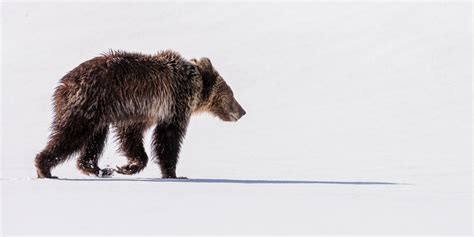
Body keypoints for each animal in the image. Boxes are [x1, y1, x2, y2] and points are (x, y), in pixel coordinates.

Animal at [35, 50, 246, 180]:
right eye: (232, 93)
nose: (243, 111)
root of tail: (63, 84)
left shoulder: (143, 111)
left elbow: (131, 135)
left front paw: (126, 167)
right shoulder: (173, 104)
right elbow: (168, 138)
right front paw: (174, 173)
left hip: (98, 111)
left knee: (94, 139)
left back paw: (97, 168)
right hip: (88, 102)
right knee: (72, 134)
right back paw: (45, 168)